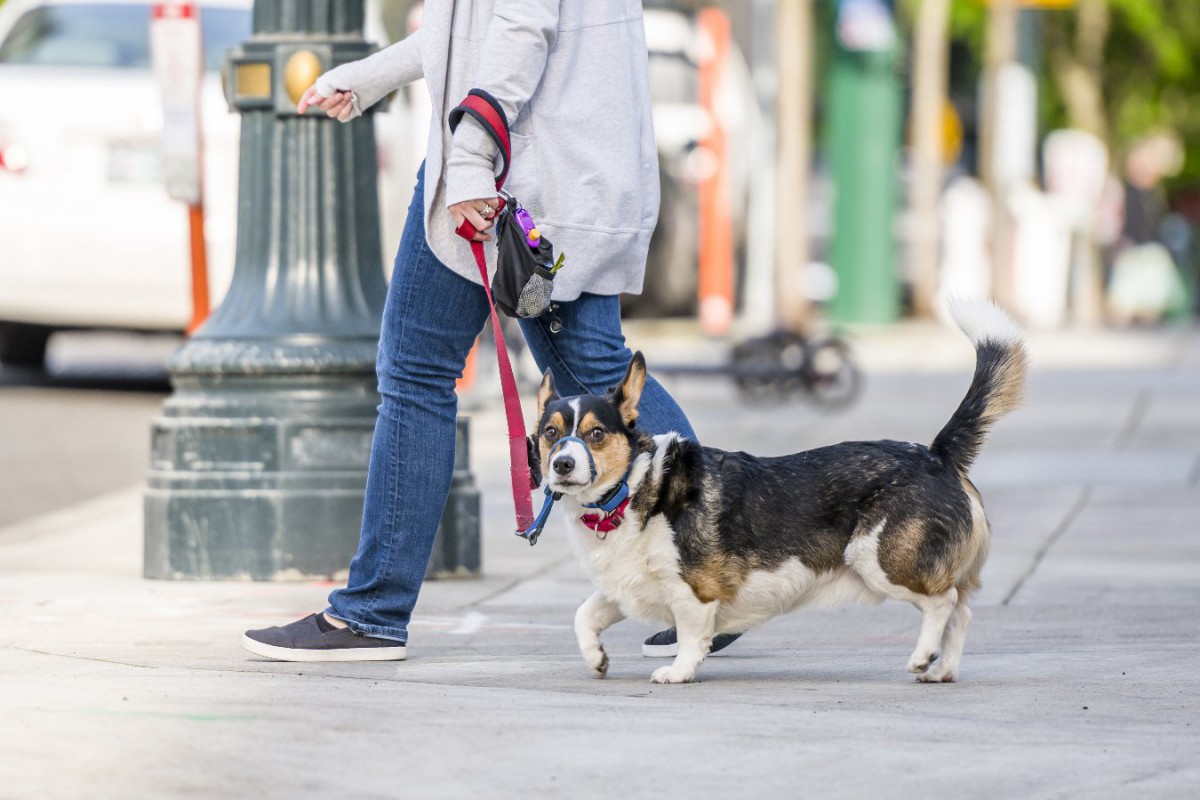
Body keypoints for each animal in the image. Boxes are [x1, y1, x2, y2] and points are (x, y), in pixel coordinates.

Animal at [530, 297, 1027, 686]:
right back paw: (942, 670)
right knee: (961, 612)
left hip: (881, 559)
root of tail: (936, 454)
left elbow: (691, 635)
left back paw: (923, 657)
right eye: (550, 434)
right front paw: (597, 659)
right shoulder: (626, 587)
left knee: (943, 603)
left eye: (595, 434)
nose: (561, 465)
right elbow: (583, 615)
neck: (632, 490)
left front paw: (680, 671)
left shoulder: (693, 592)